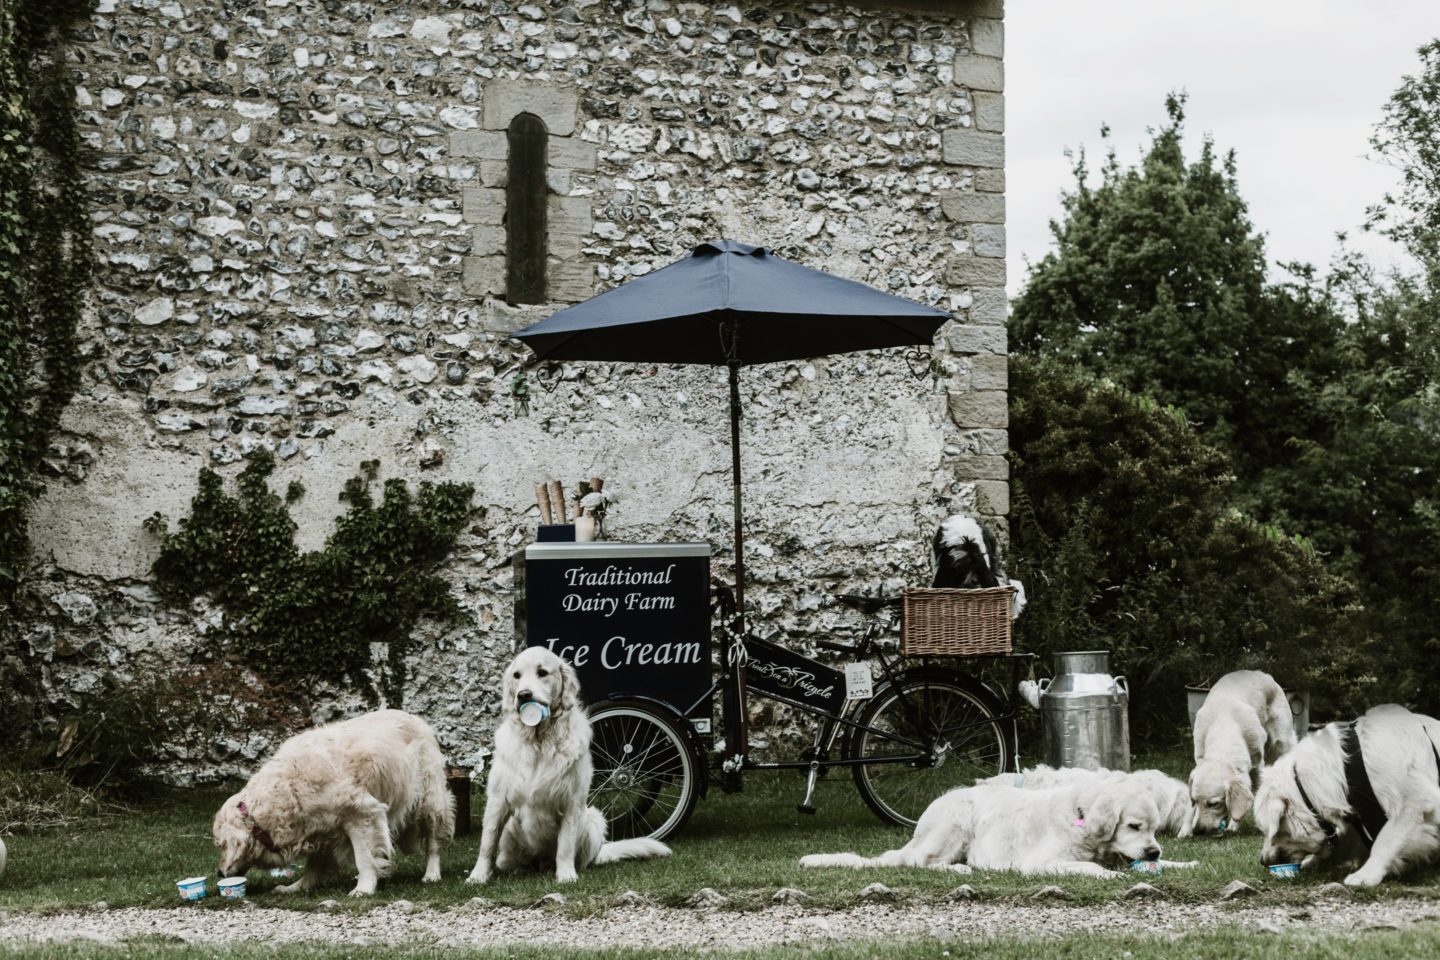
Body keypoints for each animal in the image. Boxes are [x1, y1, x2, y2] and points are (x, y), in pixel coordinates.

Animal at [210, 711, 449, 898]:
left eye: (220, 846)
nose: (219, 873)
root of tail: (416, 718)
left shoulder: (362, 814)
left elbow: (364, 857)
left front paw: (364, 888)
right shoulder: (317, 828)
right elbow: (314, 865)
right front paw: (297, 887)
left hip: (430, 803)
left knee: (434, 843)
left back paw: (432, 874)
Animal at [472, 644, 673, 886]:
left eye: (542, 672)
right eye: (516, 675)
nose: (523, 695)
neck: (539, 742)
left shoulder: (571, 800)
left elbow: (566, 845)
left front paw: (566, 875)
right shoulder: (498, 799)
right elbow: (487, 842)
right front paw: (477, 876)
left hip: (592, 818)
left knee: (581, 857)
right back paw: (520, 869)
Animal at [800, 782, 1192, 880]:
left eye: (1154, 830)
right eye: (1133, 826)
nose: (1153, 850)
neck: (1080, 813)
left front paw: (1183, 863)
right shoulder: (1043, 863)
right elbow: (1090, 867)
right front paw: (1110, 876)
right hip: (955, 823)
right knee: (919, 863)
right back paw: (958, 869)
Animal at [1186, 667, 1301, 834]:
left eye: (1214, 804)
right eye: (1195, 801)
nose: (1198, 830)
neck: (1224, 724)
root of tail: (1260, 673)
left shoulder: (1257, 766)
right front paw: (1185, 830)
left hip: (1282, 743)